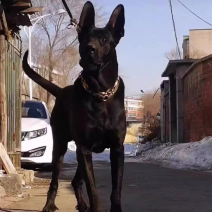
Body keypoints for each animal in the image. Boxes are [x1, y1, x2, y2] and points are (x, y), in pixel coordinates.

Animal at [22, 2, 126, 212]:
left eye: (104, 39)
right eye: (84, 39)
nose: (89, 49)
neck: (99, 93)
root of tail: (61, 91)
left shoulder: (117, 148)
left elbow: (116, 189)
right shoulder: (84, 148)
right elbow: (93, 190)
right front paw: (95, 206)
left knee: (76, 181)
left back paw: (82, 204)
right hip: (61, 147)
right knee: (55, 181)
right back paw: (49, 205)